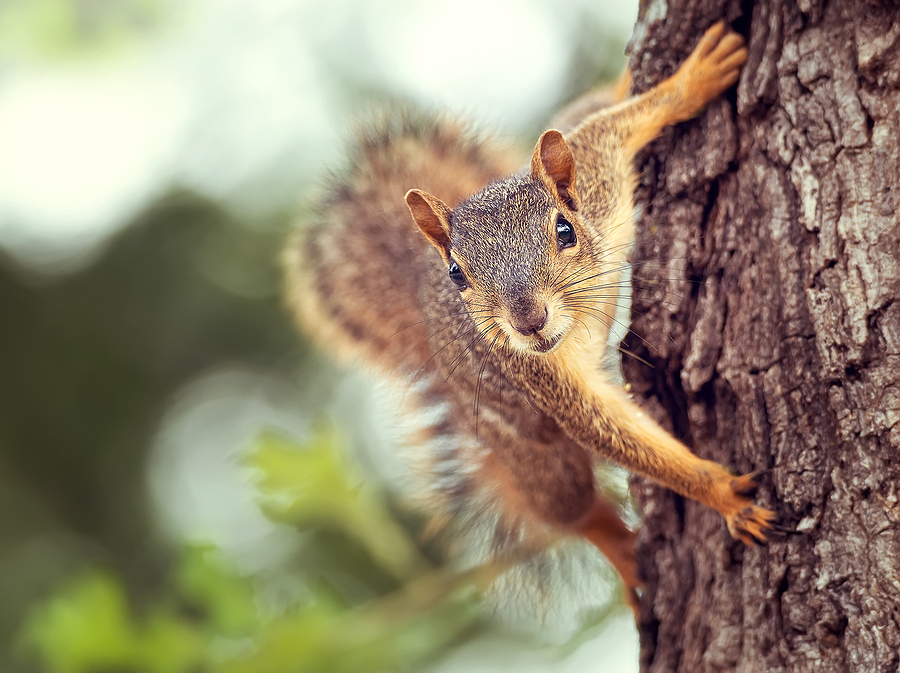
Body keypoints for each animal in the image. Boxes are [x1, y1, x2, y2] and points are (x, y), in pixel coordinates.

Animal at [286, 21, 772, 612]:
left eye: (565, 230)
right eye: (458, 274)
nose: (528, 320)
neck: (577, 320)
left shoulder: (599, 179)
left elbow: (609, 123)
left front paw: (689, 75)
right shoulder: (538, 376)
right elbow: (611, 433)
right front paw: (724, 496)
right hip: (531, 450)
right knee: (573, 510)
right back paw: (624, 555)